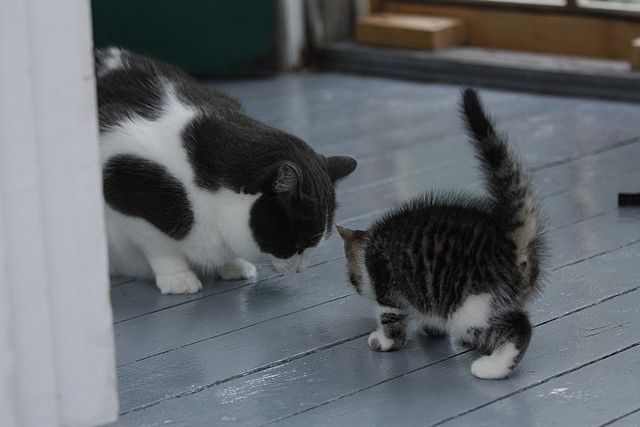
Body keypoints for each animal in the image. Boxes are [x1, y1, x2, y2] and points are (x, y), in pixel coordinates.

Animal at [95, 47, 358, 294]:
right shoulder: (125, 185)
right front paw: (178, 278)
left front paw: (233, 265)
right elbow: (159, 248)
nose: (301, 268)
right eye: (297, 245)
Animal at [336, 88, 544, 380]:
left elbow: (391, 319)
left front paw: (384, 341)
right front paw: (432, 328)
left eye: (352, 277)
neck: (370, 246)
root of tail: (513, 245)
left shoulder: (388, 289)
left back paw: (493, 366)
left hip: (471, 304)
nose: (354, 285)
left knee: (519, 326)